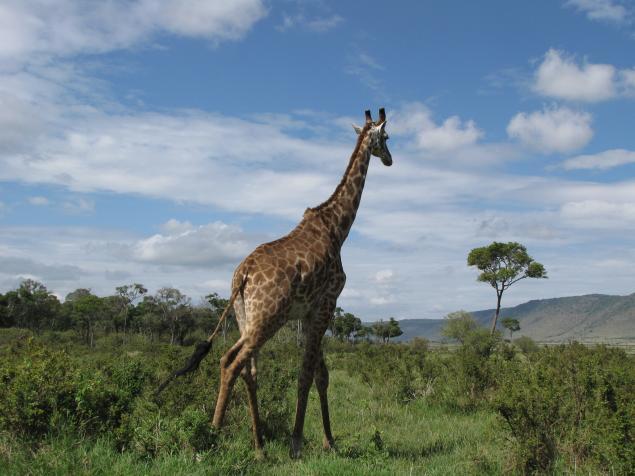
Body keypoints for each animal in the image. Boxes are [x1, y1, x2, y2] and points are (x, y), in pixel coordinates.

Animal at [161, 108, 390, 458]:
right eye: (387, 138)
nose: (390, 159)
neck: (337, 228)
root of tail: (242, 275)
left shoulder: (310, 313)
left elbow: (321, 375)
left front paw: (330, 441)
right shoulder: (327, 304)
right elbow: (306, 375)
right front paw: (297, 444)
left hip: (246, 316)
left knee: (244, 368)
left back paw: (258, 447)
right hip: (269, 316)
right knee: (232, 362)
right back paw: (212, 436)